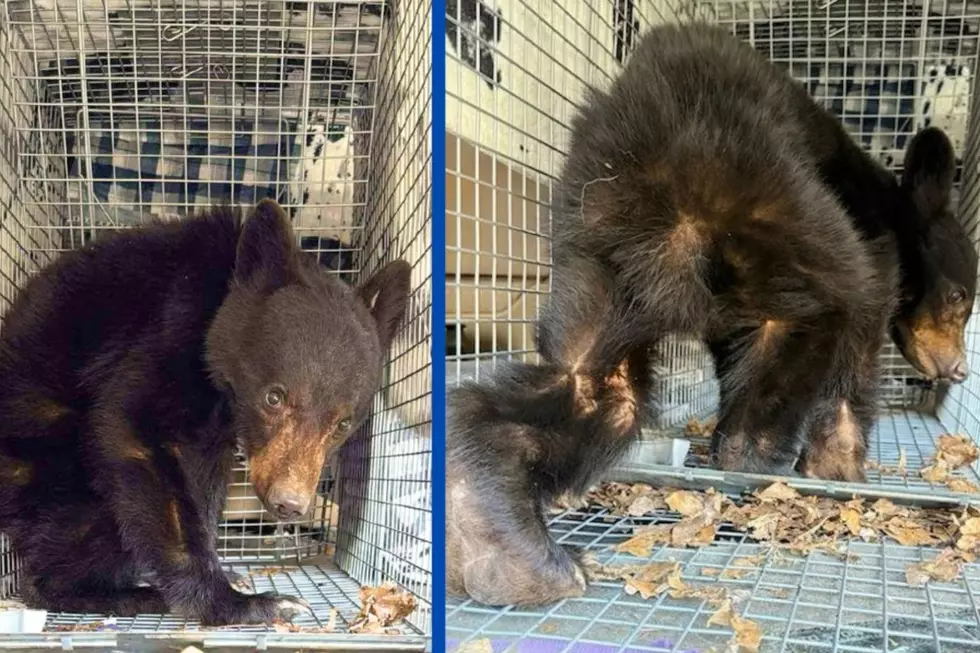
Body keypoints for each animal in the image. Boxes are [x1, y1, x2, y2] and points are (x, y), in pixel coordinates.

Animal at [0, 199, 411, 625]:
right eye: (274, 398)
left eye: (342, 424)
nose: (289, 504)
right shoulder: (168, 326)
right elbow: (132, 428)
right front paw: (238, 603)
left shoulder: (217, 428)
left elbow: (206, 487)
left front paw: (225, 572)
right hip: (53, 472)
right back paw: (132, 594)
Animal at [446, 23, 977, 607]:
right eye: (960, 298)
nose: (959, 369)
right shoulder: (877, 248)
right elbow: (860, 335)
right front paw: (839, 462)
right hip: (779, 206)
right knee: (834, 296)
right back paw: (753, 460)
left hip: (598, 245)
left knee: (596, 379)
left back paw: (502, 537)